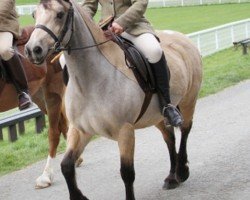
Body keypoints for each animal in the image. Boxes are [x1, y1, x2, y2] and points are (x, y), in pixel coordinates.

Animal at [24, 0, 202, 199]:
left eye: (60, 14)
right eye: (34, 14)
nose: (32, 50)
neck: (90, 81)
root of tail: (182, 38)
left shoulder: (125, 130)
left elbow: (127, 173)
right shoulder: (80, 130)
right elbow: (66, 166)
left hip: (188, 101)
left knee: (185, 130)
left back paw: (182, 171)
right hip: (155, 115)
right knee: (169, 137)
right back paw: (172, 178)